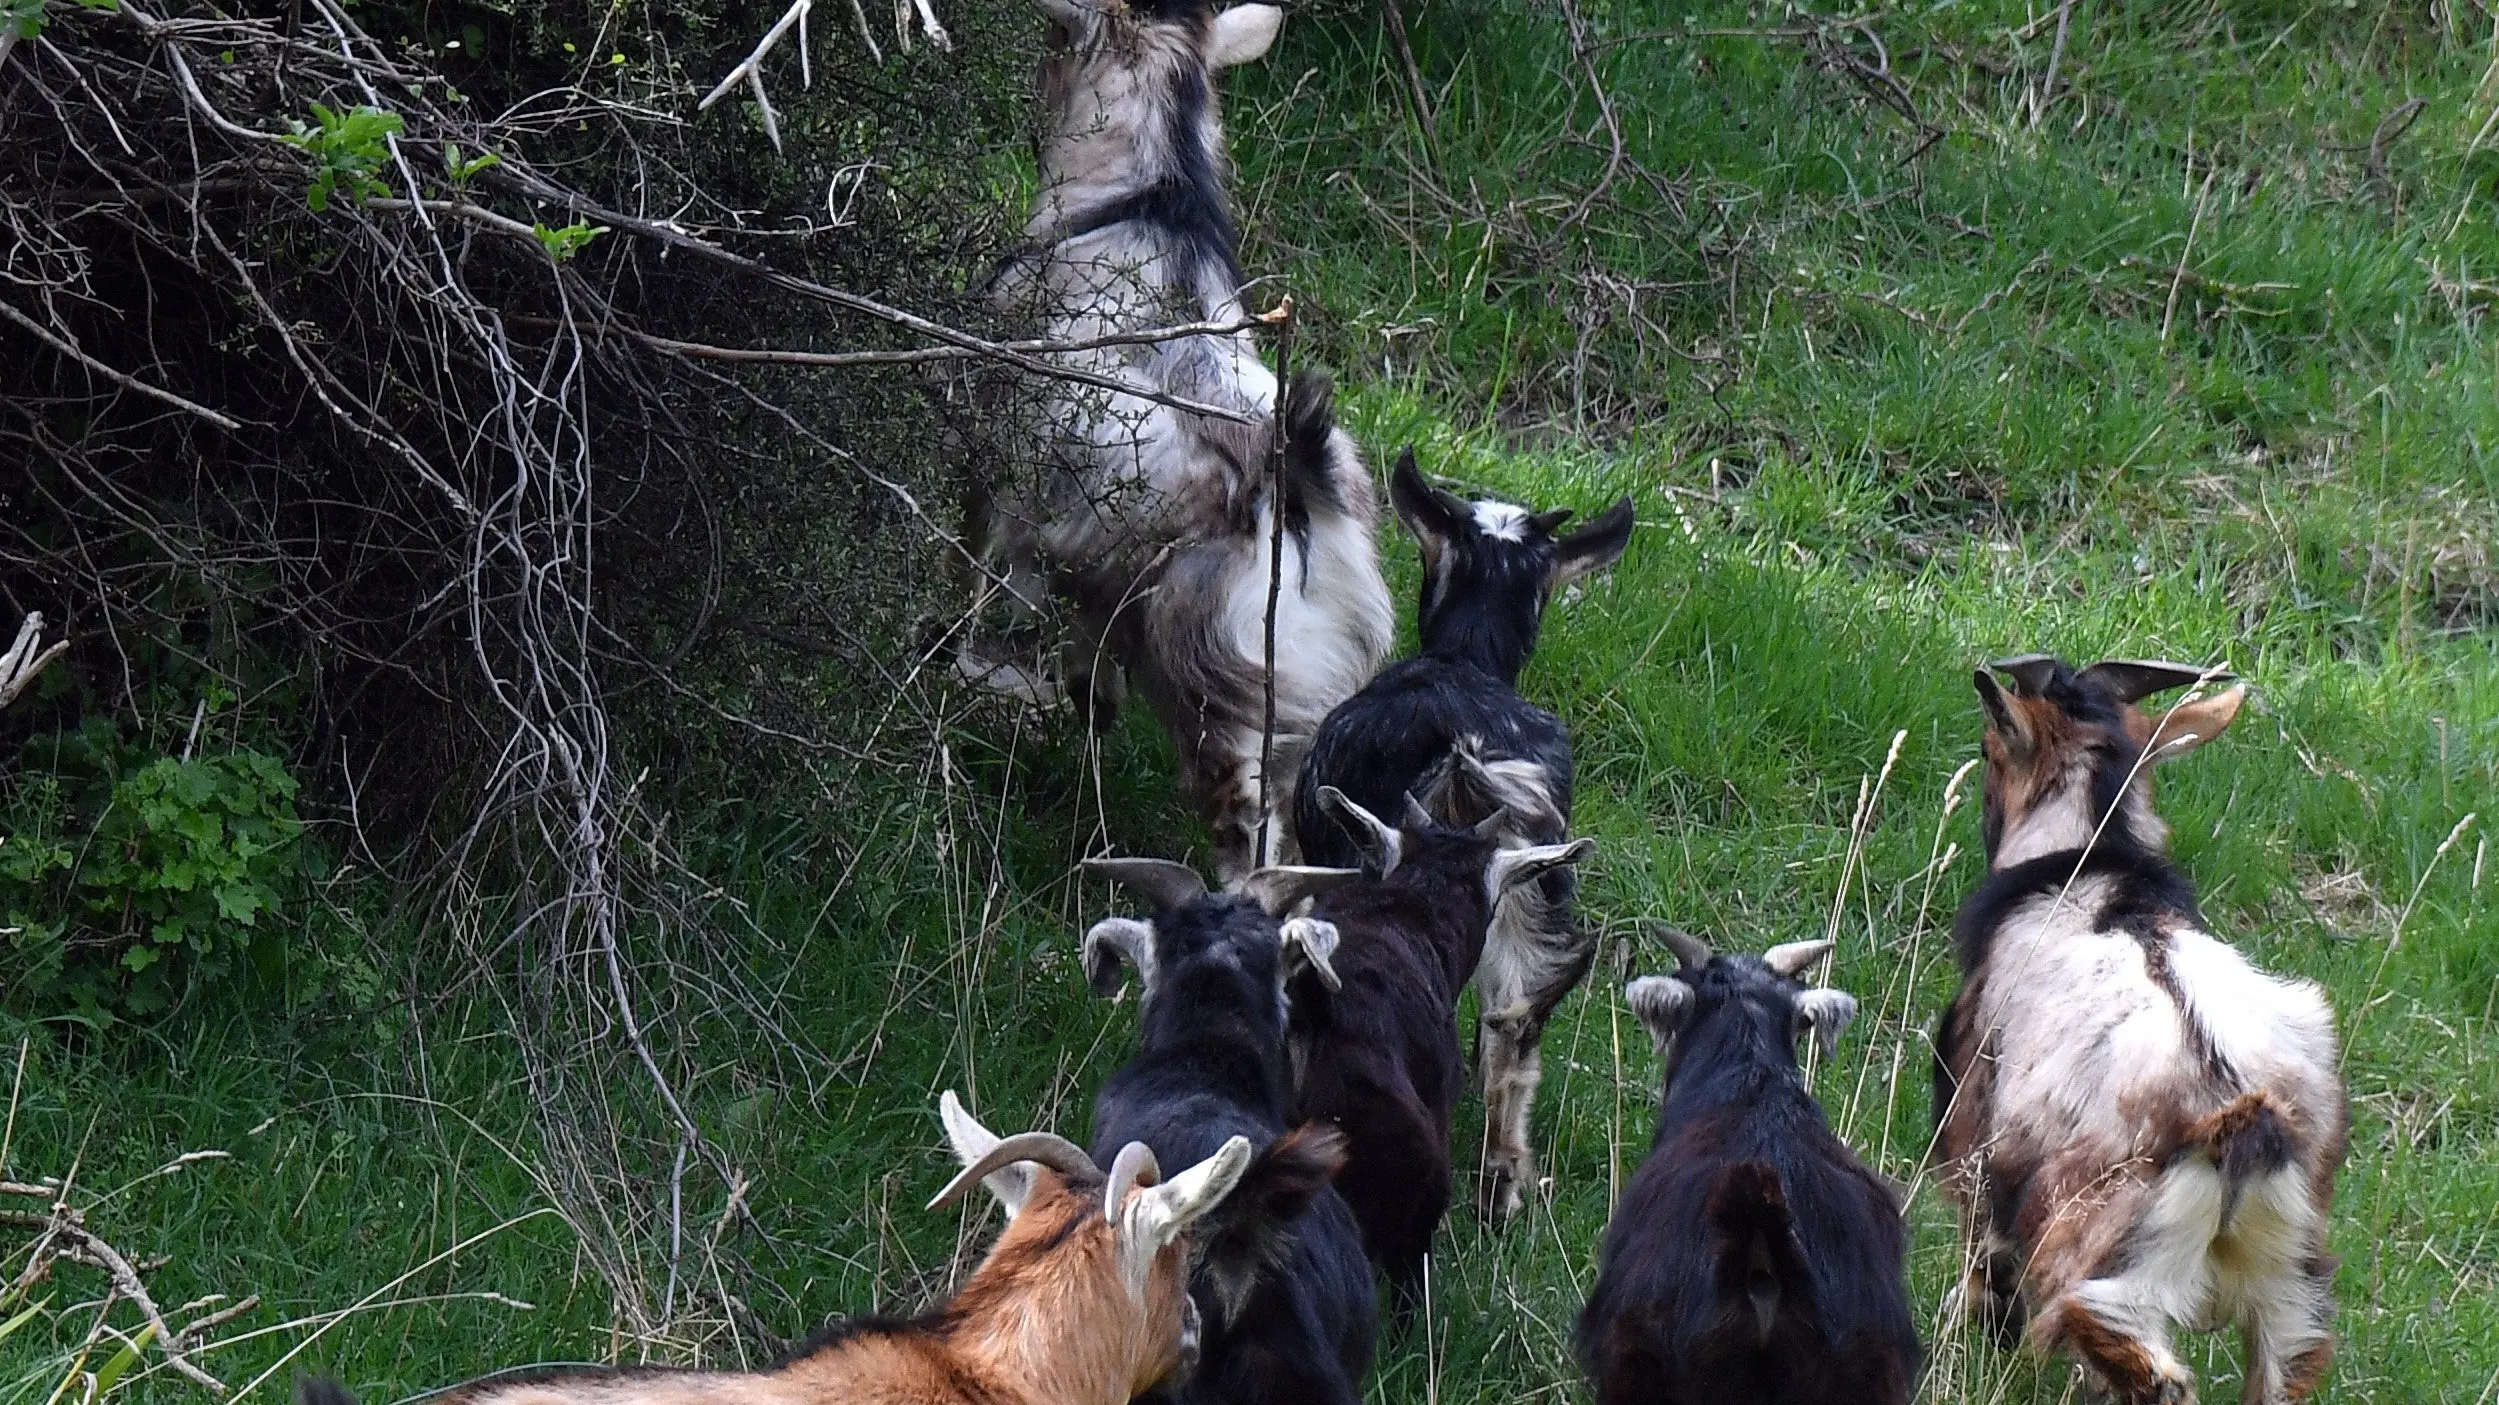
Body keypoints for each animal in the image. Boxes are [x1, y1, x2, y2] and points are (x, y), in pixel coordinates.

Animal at [961, 0, 1392, 882]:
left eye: (1055, 42)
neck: (1146, 202)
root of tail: (1304, 495)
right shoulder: (1097, 566)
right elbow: (1091, 675)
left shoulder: (990, 458)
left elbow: (963, 574)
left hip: (1217, 695)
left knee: (1249, 835)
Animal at [1931, 655, 2345, 1405]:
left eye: (1988, 747)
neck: (2091, 869)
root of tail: (2241, 1119)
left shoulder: (1976, 1126)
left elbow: (1985, 1255)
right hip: (2292, 1284)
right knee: (2286, 1362)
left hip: (2115, 1256)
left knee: (2133, 1354)